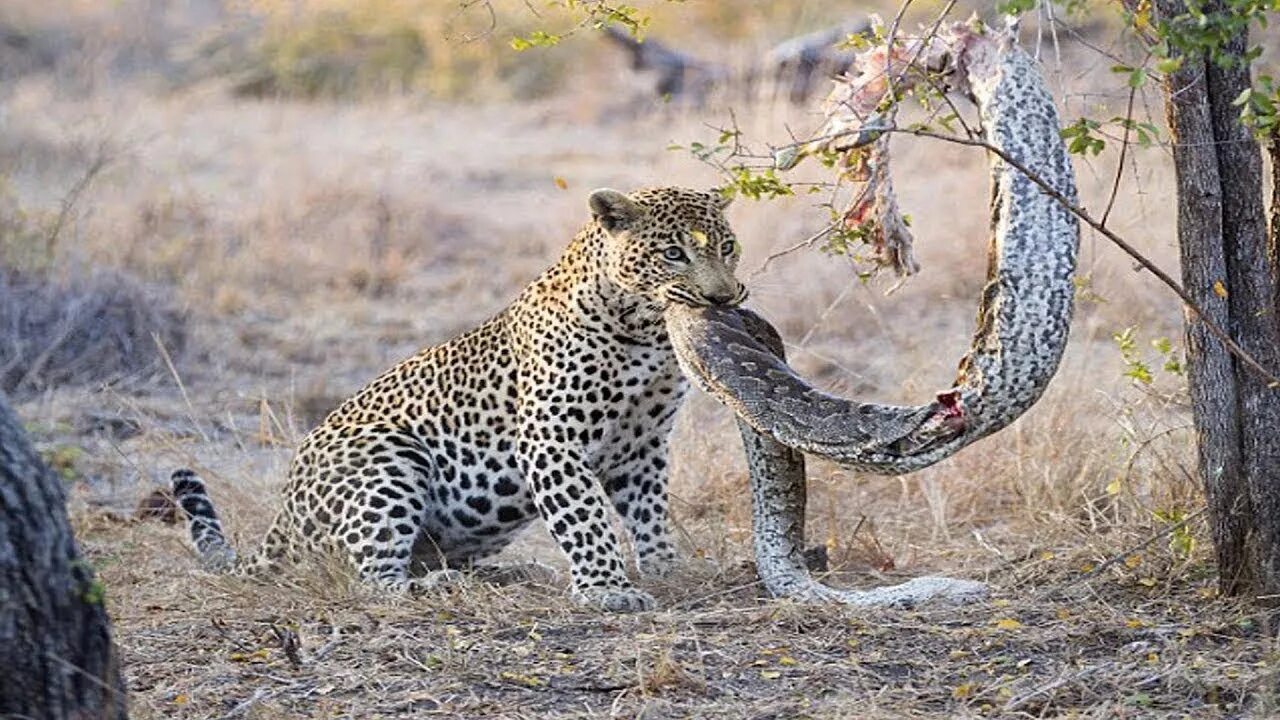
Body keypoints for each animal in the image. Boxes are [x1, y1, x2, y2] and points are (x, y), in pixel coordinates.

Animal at [175, 181, 747, 607]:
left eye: (727, 247)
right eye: (673, 253)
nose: (723, 297)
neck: (645, 331)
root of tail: (284, 514)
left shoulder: (642, 444)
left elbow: (648, 512)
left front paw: (664, 570)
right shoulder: (551, 439)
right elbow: (584, 517)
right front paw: (608, 590)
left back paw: (510, 574)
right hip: (388, 454)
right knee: (372, 579)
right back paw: (438, 585)